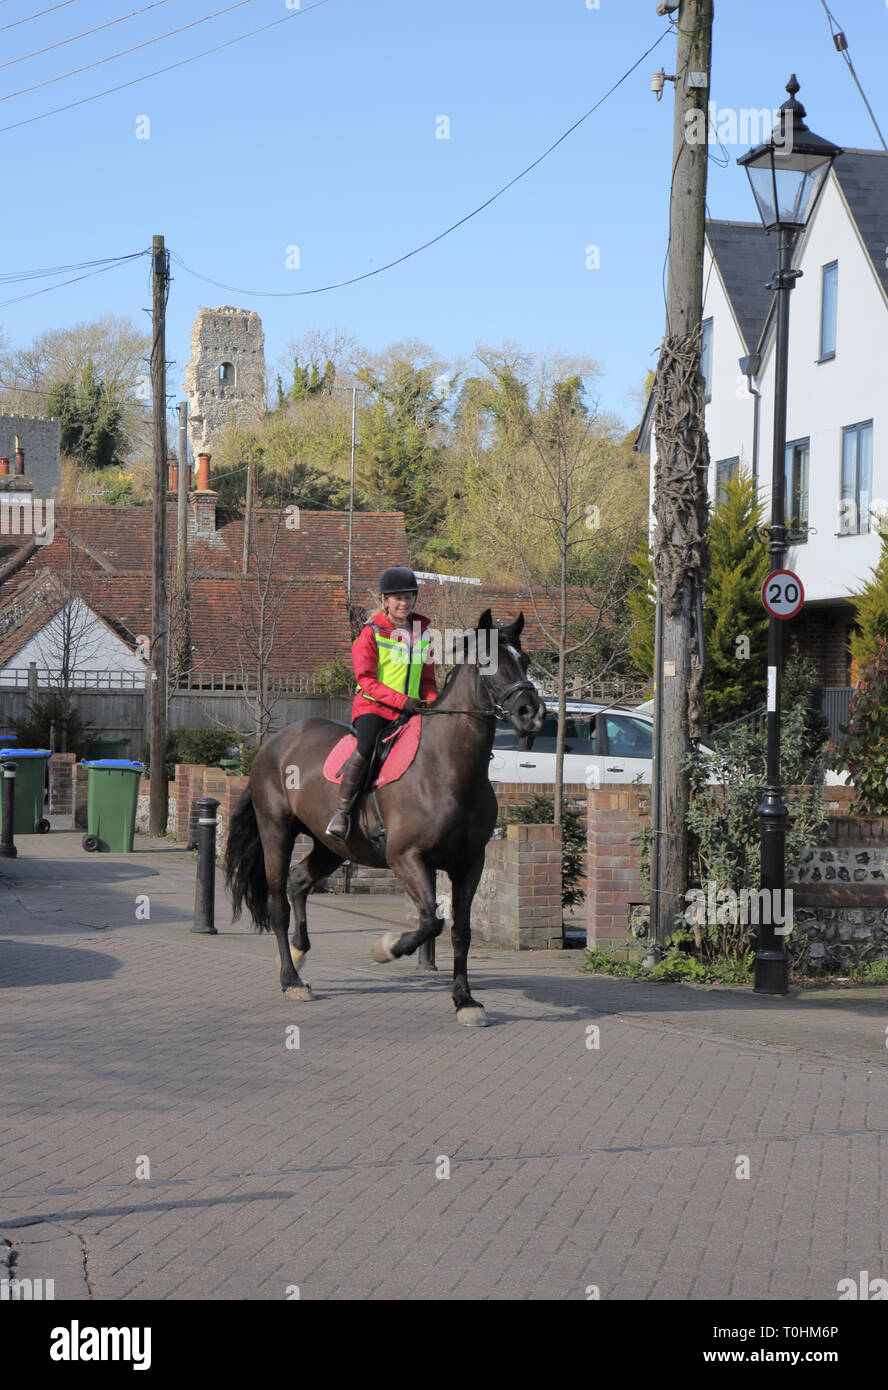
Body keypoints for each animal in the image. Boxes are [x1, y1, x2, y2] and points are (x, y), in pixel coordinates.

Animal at [224, 609, 546, 1026]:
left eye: (525, 660)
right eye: (488, 661)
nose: (531, 714)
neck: (449, 767)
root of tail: (273, 744)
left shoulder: (470, 864)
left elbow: (460, 932)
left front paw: (465, 1000)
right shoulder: (406, 857)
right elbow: (430, 921)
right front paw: (387, 946)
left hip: (333, 845)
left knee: (299, 881)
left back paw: (298, 952)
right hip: (276, 830)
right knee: (279, 900)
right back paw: (291, 979)